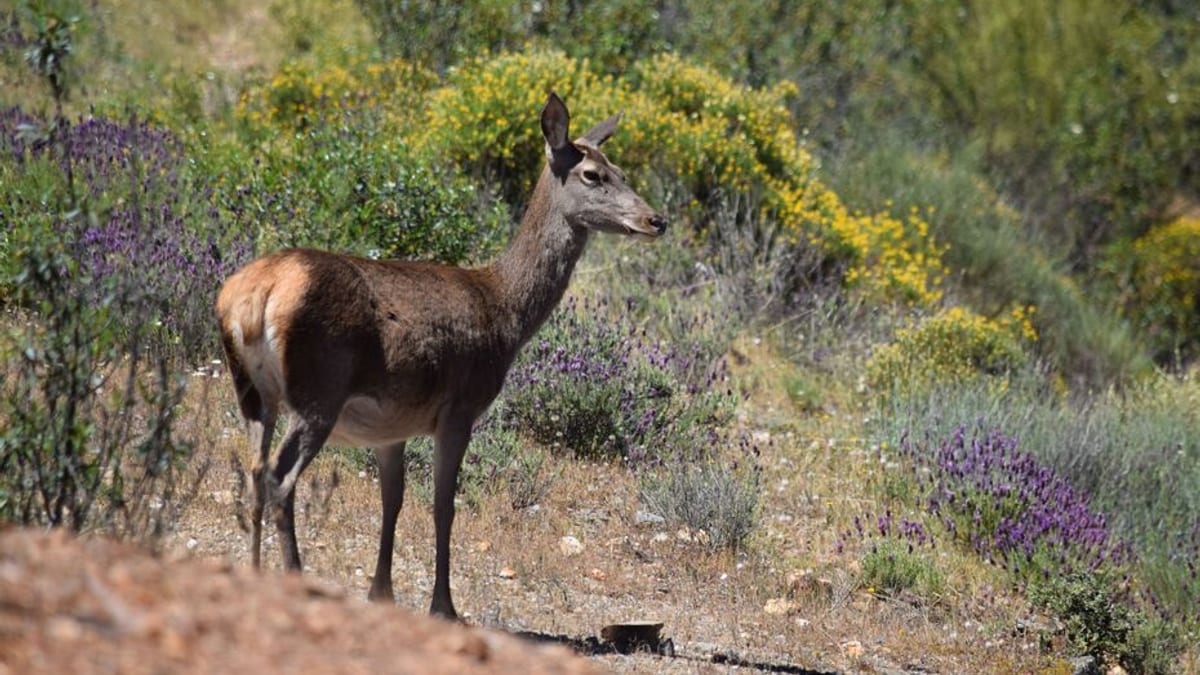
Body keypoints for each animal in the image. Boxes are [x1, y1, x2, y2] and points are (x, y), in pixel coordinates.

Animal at [215, 92, 667, 620]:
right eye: (593, 174)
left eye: (620, 169)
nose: (656, 220)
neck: (505, 313)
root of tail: (254, 296)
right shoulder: (460, 407)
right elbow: (443, 505)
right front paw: (445, 607)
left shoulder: (390, 427)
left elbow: (393, 500)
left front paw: (382, 592)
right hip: (318, 391)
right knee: (280, 480)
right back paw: (294, 582)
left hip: (251, 391)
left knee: (252, 473)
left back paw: (253, 577)